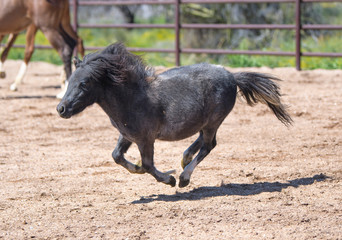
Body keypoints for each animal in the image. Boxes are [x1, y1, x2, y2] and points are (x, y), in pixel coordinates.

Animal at [56, 42, 292, 188]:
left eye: (84, 83)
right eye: (70, 80)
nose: (61, 109)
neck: (132, 98)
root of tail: (233, 77)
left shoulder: (145, 139)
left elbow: (148, 164)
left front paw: (168, 179)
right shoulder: (127, 135)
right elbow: (117, 156)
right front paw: (137, 169)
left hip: (213, 121)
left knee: (209, 145)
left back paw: (184, 177)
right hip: (205, 122)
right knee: (202, 141)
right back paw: (184, 159)